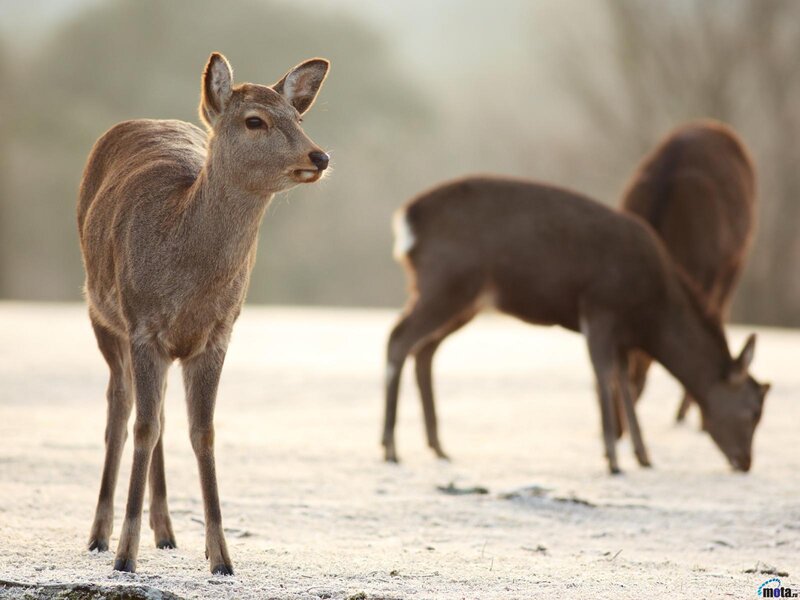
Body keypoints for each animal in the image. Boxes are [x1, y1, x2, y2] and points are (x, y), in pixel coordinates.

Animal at [78, 52, 330, 574]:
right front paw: (125, 556)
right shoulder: (143, 326)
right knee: (120, 409)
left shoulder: (218, 333)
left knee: (157, 413)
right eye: (255, 120)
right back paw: (99, 535)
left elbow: (204, 432)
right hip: (100, 312)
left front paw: (222, 558)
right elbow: (143, 427)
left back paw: (166, 531)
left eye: (298, 118)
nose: (319, 157)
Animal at [382, 175, 769, 474]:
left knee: (424, 351)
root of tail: (406, 219)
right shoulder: (600, 308)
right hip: (446, 282)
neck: (650, 313)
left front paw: (643, 456)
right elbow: (603, 375)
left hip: (463, 300)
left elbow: (622, 382)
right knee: (399, 339)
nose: (746, 462)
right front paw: (613, 460)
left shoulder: (622, 335)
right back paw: (390, 448)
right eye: (753, 411)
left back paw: (437, 446)